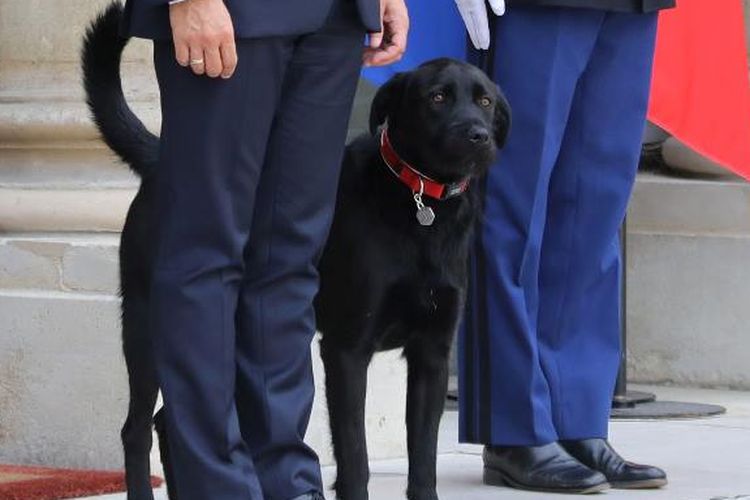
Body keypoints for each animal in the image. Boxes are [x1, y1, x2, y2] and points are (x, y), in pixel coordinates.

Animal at [83, 3, 512, 500]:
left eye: (485, 101)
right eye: (437, 98)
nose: (478, 136)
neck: (418, 201)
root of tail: (158, 159)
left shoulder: (433, 353)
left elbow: (423, 460)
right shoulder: (347, 350)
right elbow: (355, 454)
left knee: (170, 423)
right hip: (147, 325)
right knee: (136, 428)